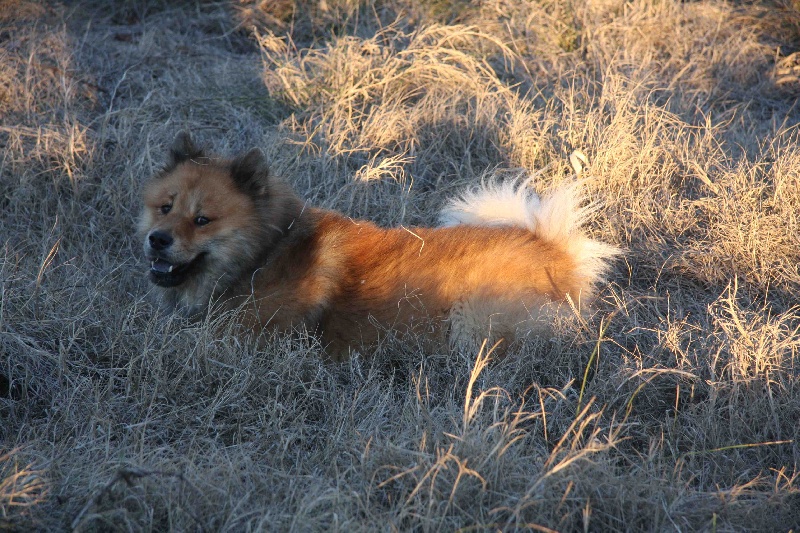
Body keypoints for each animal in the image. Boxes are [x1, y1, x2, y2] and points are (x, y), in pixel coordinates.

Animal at [139, 133, 618, 359]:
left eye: (202, 220)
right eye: (165, 207)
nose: (157, 239)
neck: (265, 251)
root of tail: (555, 253)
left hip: (472, 318)